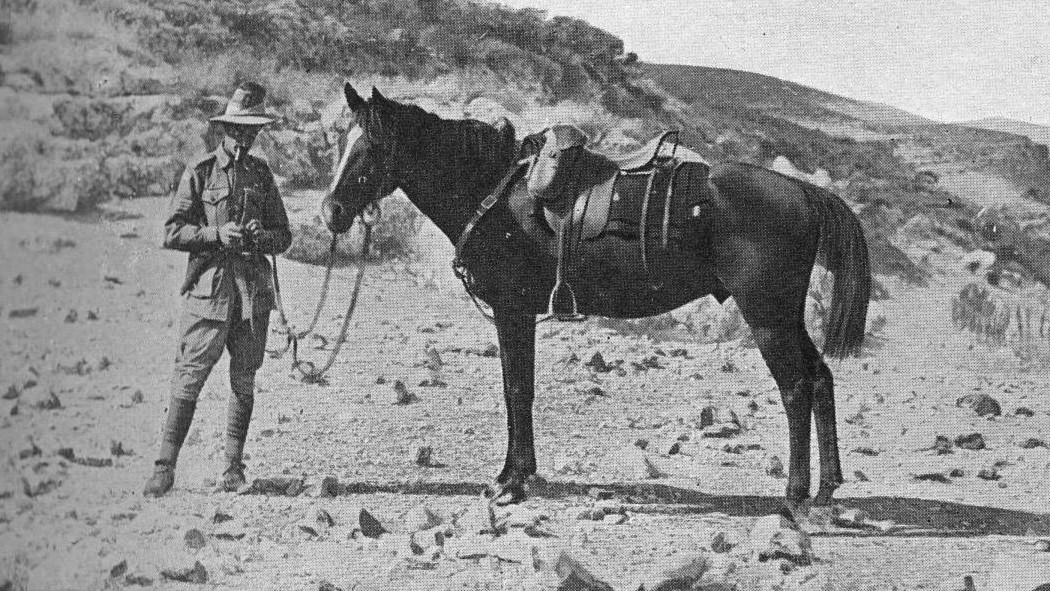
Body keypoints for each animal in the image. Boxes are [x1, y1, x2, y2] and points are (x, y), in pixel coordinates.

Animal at [321, 82, 871, 513]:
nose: (331, 211)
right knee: (820, 380)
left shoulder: (512, 311)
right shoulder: (516, 314)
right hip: (785, 318)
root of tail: (804, 192)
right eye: (340, 141)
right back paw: (827, 489)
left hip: (767, 318)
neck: (495, 195)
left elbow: (517, 390)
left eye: (371, 145)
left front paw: (512, 482)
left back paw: (795, 496)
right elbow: (518, 389)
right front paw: (517, 474)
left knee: (796, 389)